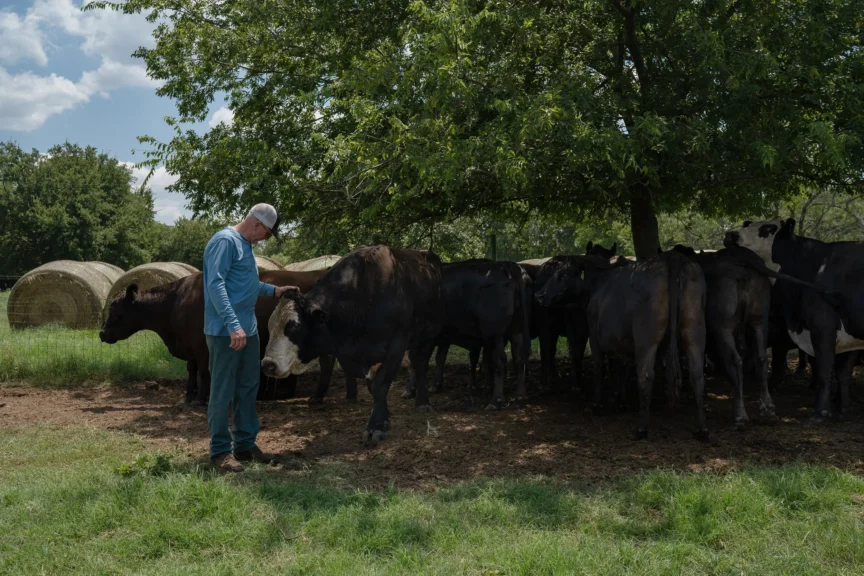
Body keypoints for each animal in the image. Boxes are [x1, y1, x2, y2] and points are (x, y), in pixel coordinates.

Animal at [260, 245, 442, 444]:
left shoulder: (397, 343)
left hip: (427, 335)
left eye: (294, 326)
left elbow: (380, 385)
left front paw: (375, 427)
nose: (268, 364)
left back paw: (423, 402)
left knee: (420, 366)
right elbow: (372, 386)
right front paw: (384, 420)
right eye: (270, 326)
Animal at [536, 252, 712, 440]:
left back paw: (642, 428)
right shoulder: (623, 342)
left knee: (646, 375)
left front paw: (597, 405)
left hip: (646, 338)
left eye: (562, 275)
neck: (598, 283)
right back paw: (702, 429)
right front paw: (621, 402)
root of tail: (671, 257)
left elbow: (600, 367)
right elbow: (623, 369)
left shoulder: (594, 333)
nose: (540, 295)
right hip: (694, 330)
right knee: (696, 375)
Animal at [668, 243, 776, 428]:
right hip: (760, 319)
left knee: (735, 361)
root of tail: (741, 258)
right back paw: (767, 406)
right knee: (761, 358)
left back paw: (739, 415)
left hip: (723, 326)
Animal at [724, 218, 860, 420]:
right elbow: (843, 374)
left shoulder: (823, 328)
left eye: (768, 228)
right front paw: (843, 409)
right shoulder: (847, 334)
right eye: (748, 224)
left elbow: (824, 371)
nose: (731, 234)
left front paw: (821, 412)